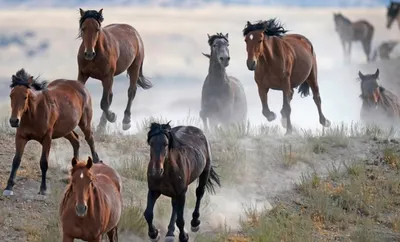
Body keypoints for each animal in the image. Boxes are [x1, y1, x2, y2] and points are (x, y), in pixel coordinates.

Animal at [2, 68, 99, 197]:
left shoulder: (47, 138)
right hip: (65, 129)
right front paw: (9, 187)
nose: (14, 121)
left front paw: (43, 189)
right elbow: (16, 160)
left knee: (89, 138)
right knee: (76, 140)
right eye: (11, 96)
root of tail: (81, 86)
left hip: (84, 123)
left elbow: (44, 162)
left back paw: (97, 161)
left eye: (25, 97)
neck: (34, 113)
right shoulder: (21, 137)